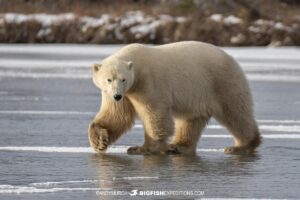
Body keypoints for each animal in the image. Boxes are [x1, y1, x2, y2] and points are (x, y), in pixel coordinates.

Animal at [88, 41, 262, 155]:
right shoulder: (124, 93)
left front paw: (141, 148)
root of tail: (232, 59)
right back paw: (178, 146)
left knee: (236, 113)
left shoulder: (148, 83)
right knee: (191, 121)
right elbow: (116, 116)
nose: (117, 95)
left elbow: (155, 114)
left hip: (223, 82)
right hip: (198, 95)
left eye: (123, 79)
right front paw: (99, 141)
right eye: (108, 79)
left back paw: (240, 146)